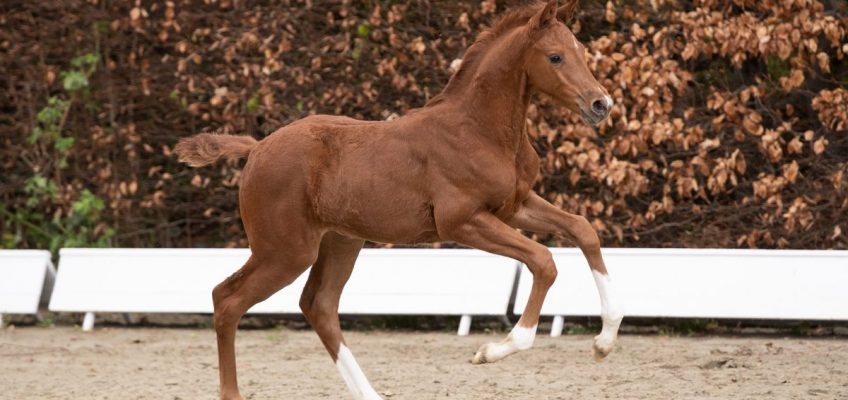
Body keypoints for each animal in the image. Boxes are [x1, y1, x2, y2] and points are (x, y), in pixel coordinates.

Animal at [174, 1, 624, 398]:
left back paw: (370, 394)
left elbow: (583, 230)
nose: (601, 104)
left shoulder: (515, 206)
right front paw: (493, 351)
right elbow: (543, 261)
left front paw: (604, 342)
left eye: (581, 51)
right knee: (227, 300)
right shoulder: (462, 221)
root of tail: (257, 148)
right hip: (285, 251)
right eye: (554, 57)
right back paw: (233, 391)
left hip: (340, 241)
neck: (479, 129)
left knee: (319, 306)